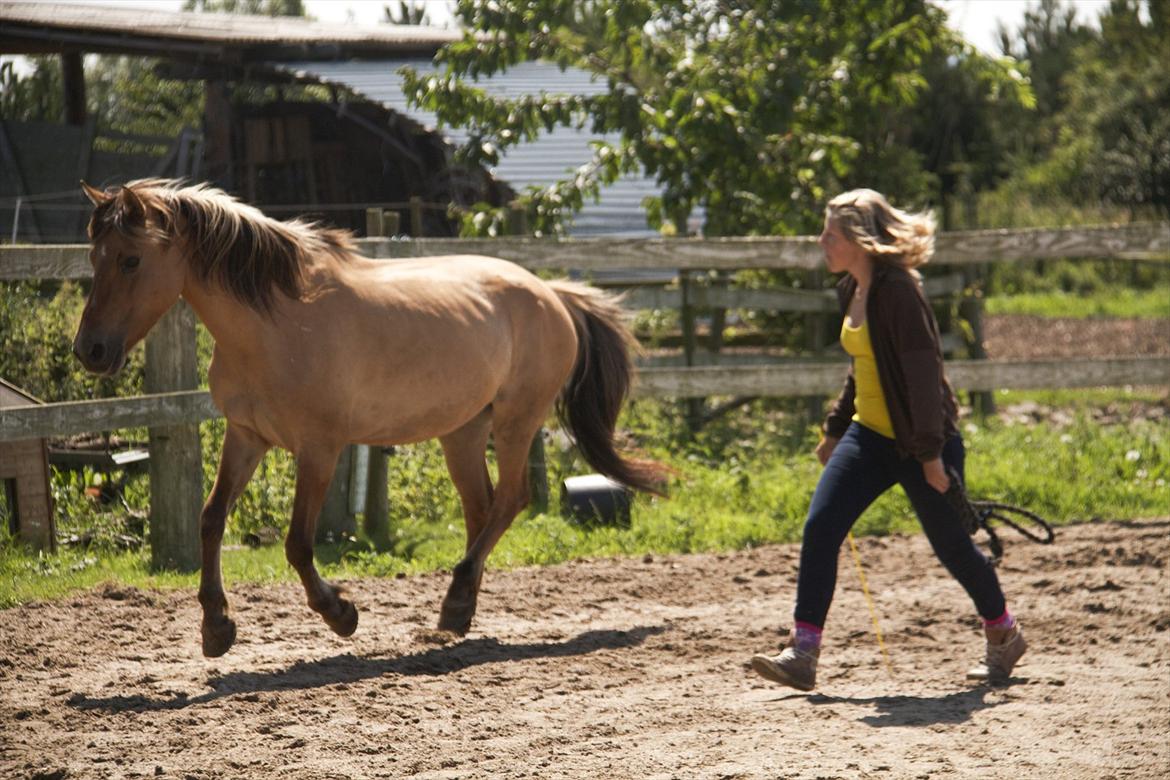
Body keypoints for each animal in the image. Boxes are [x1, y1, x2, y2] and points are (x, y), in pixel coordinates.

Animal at [75, 180, 669, 654]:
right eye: (93, 258)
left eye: (130, 259)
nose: (90, 351)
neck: (275, 322)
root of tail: (552, 293)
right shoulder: (246, 436)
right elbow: (211, 518)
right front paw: (217, 628)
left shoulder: (320, 448)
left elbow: (297, 542)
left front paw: (341, 614)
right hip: (463, 431)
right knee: (481, 509)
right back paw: (459, 611)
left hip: (517, 420)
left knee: (510, 499)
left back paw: (455, 602)